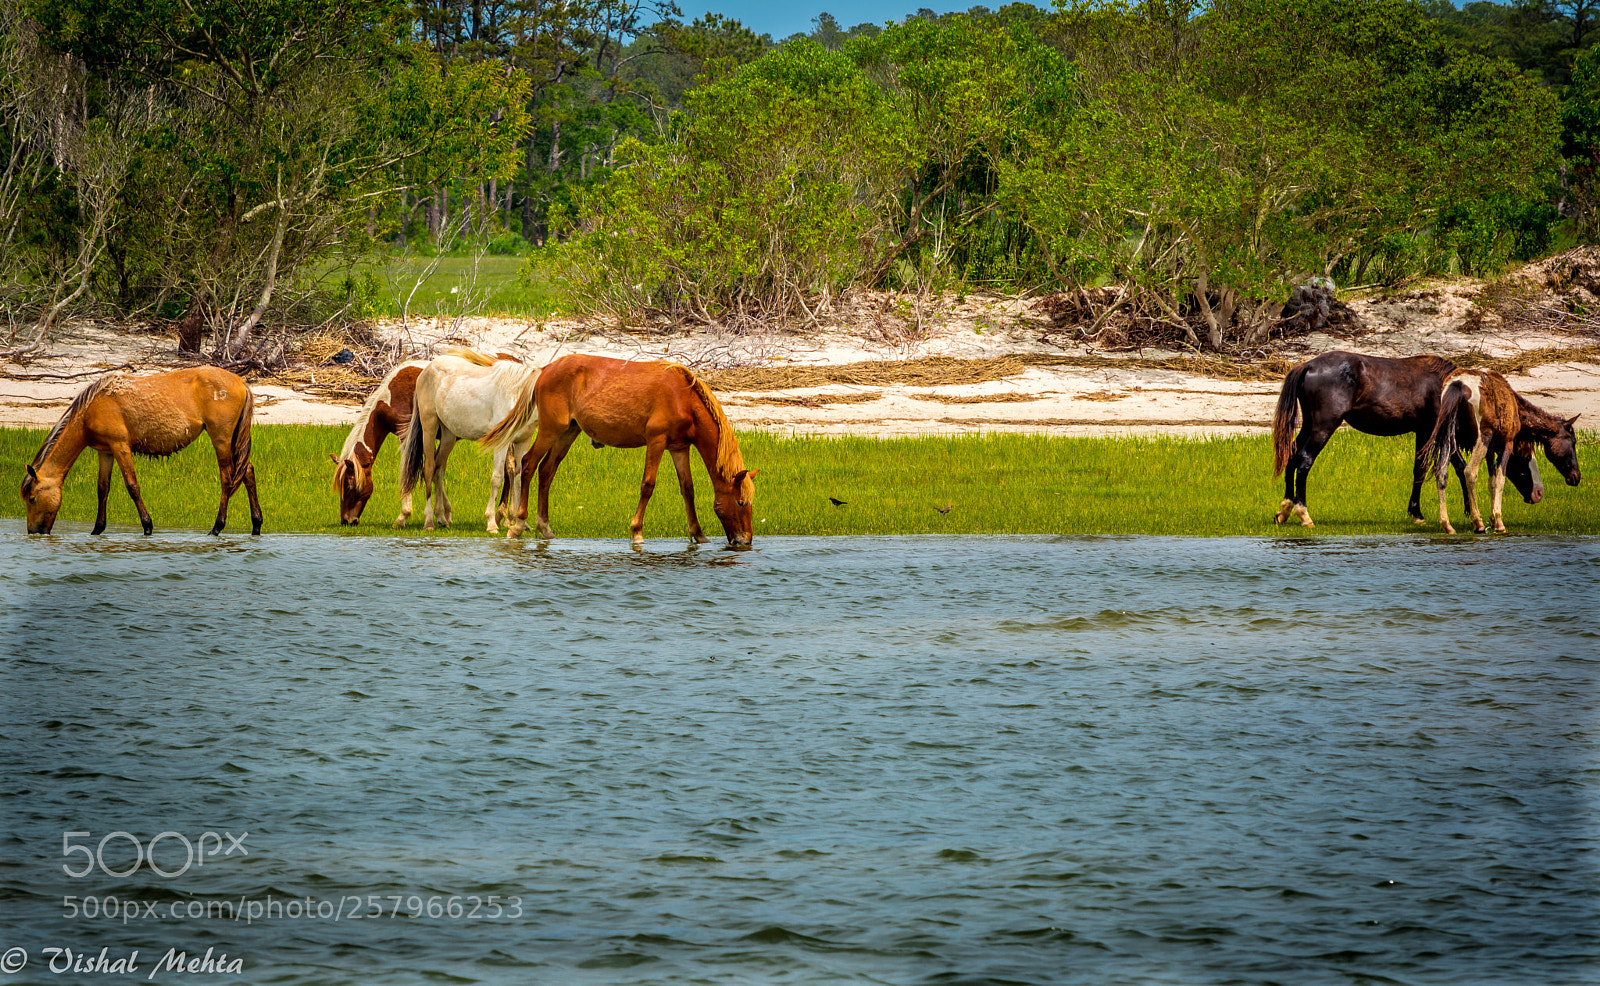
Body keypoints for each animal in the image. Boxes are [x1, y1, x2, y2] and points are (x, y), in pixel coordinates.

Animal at [21, 366, 262, 536]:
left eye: (32, 498)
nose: (33, 531)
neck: (91, 409)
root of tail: (240, 381)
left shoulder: (120, 446)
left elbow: (132, 486)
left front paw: (147, 526)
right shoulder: (105, 451)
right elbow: (102, 489)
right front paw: (97, 528)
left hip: (221, 437)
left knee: (227, 478)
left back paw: (217, 527)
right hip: (233, 439)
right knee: (248, 471)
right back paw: (256, 524)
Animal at [398, 348, 540, 533]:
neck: (518, 393)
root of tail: (425, 371)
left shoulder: (522, 442)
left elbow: (518, 478)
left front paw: (517, 523)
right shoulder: (502, 443)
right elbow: (497, 478)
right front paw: (491, 522)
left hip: (448, 435)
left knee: (438, 469)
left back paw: (442, 518)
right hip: (429, 427)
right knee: (428, 469)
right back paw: (429, 521)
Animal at [490, 355, 758, 548]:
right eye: (741, 502)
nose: (745, 540)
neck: (682, 398)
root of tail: (545, 369)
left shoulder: (679, 447)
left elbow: (688, 489)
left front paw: (698, 534)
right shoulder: (656, 441)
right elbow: (648, 485)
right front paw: (636, 531)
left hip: (568, 433)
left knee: (547, 471)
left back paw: (545, 528)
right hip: (550, 430)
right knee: (528, 464)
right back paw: (518, 524)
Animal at [1272, 352, 1541, 526]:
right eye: (1523, 459)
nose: (1538, 494)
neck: (1450, 388)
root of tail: (1307, 366)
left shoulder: (1434, 433)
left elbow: (1450, 468)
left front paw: (1465, 510)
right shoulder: (1431, 432)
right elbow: (1428, 469)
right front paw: (1420, 512)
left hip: (1310, 424)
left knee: (1292, 456)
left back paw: (1285, 508)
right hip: (1323, 426)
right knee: (1304, 460)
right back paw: (1303, 513)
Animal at [1421, 368, 1581, 533]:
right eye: (1573, 441)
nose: (1576, 476)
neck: (1518, 412)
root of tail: (1456, 386)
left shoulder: (1491, 448)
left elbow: (1491, 481)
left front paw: (1492, 518)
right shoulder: (1506, 442)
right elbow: (1500, 479)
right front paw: (1498, 520)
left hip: (1447, 438)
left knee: (1441, 473)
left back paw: (1447, 524)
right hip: (1481, 437)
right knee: (1469, 471)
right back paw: (1477, 522)